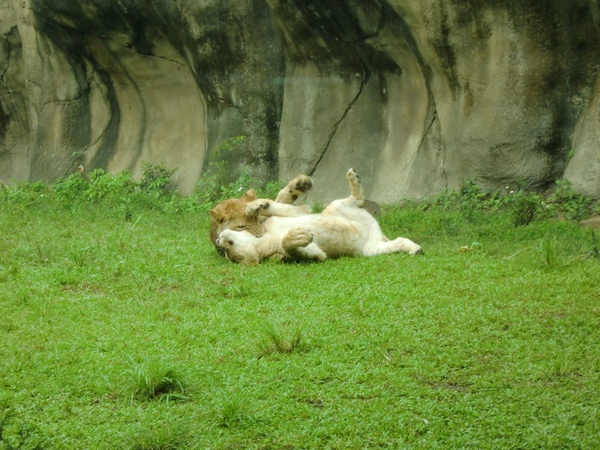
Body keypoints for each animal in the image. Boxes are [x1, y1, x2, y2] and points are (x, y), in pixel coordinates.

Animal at [216, 169, 422, 264]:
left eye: (226, 251)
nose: (219, 240)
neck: (263, 238)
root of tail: (374, 229)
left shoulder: (297, 213)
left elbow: (279, 207)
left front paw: (255, 206)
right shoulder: (311, 255)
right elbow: (293, 247)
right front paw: (300, 235)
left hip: (336, 207)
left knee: (357, 198)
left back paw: (353, 178)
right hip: (372, 250)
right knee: (398, 241)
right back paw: (416, 249)